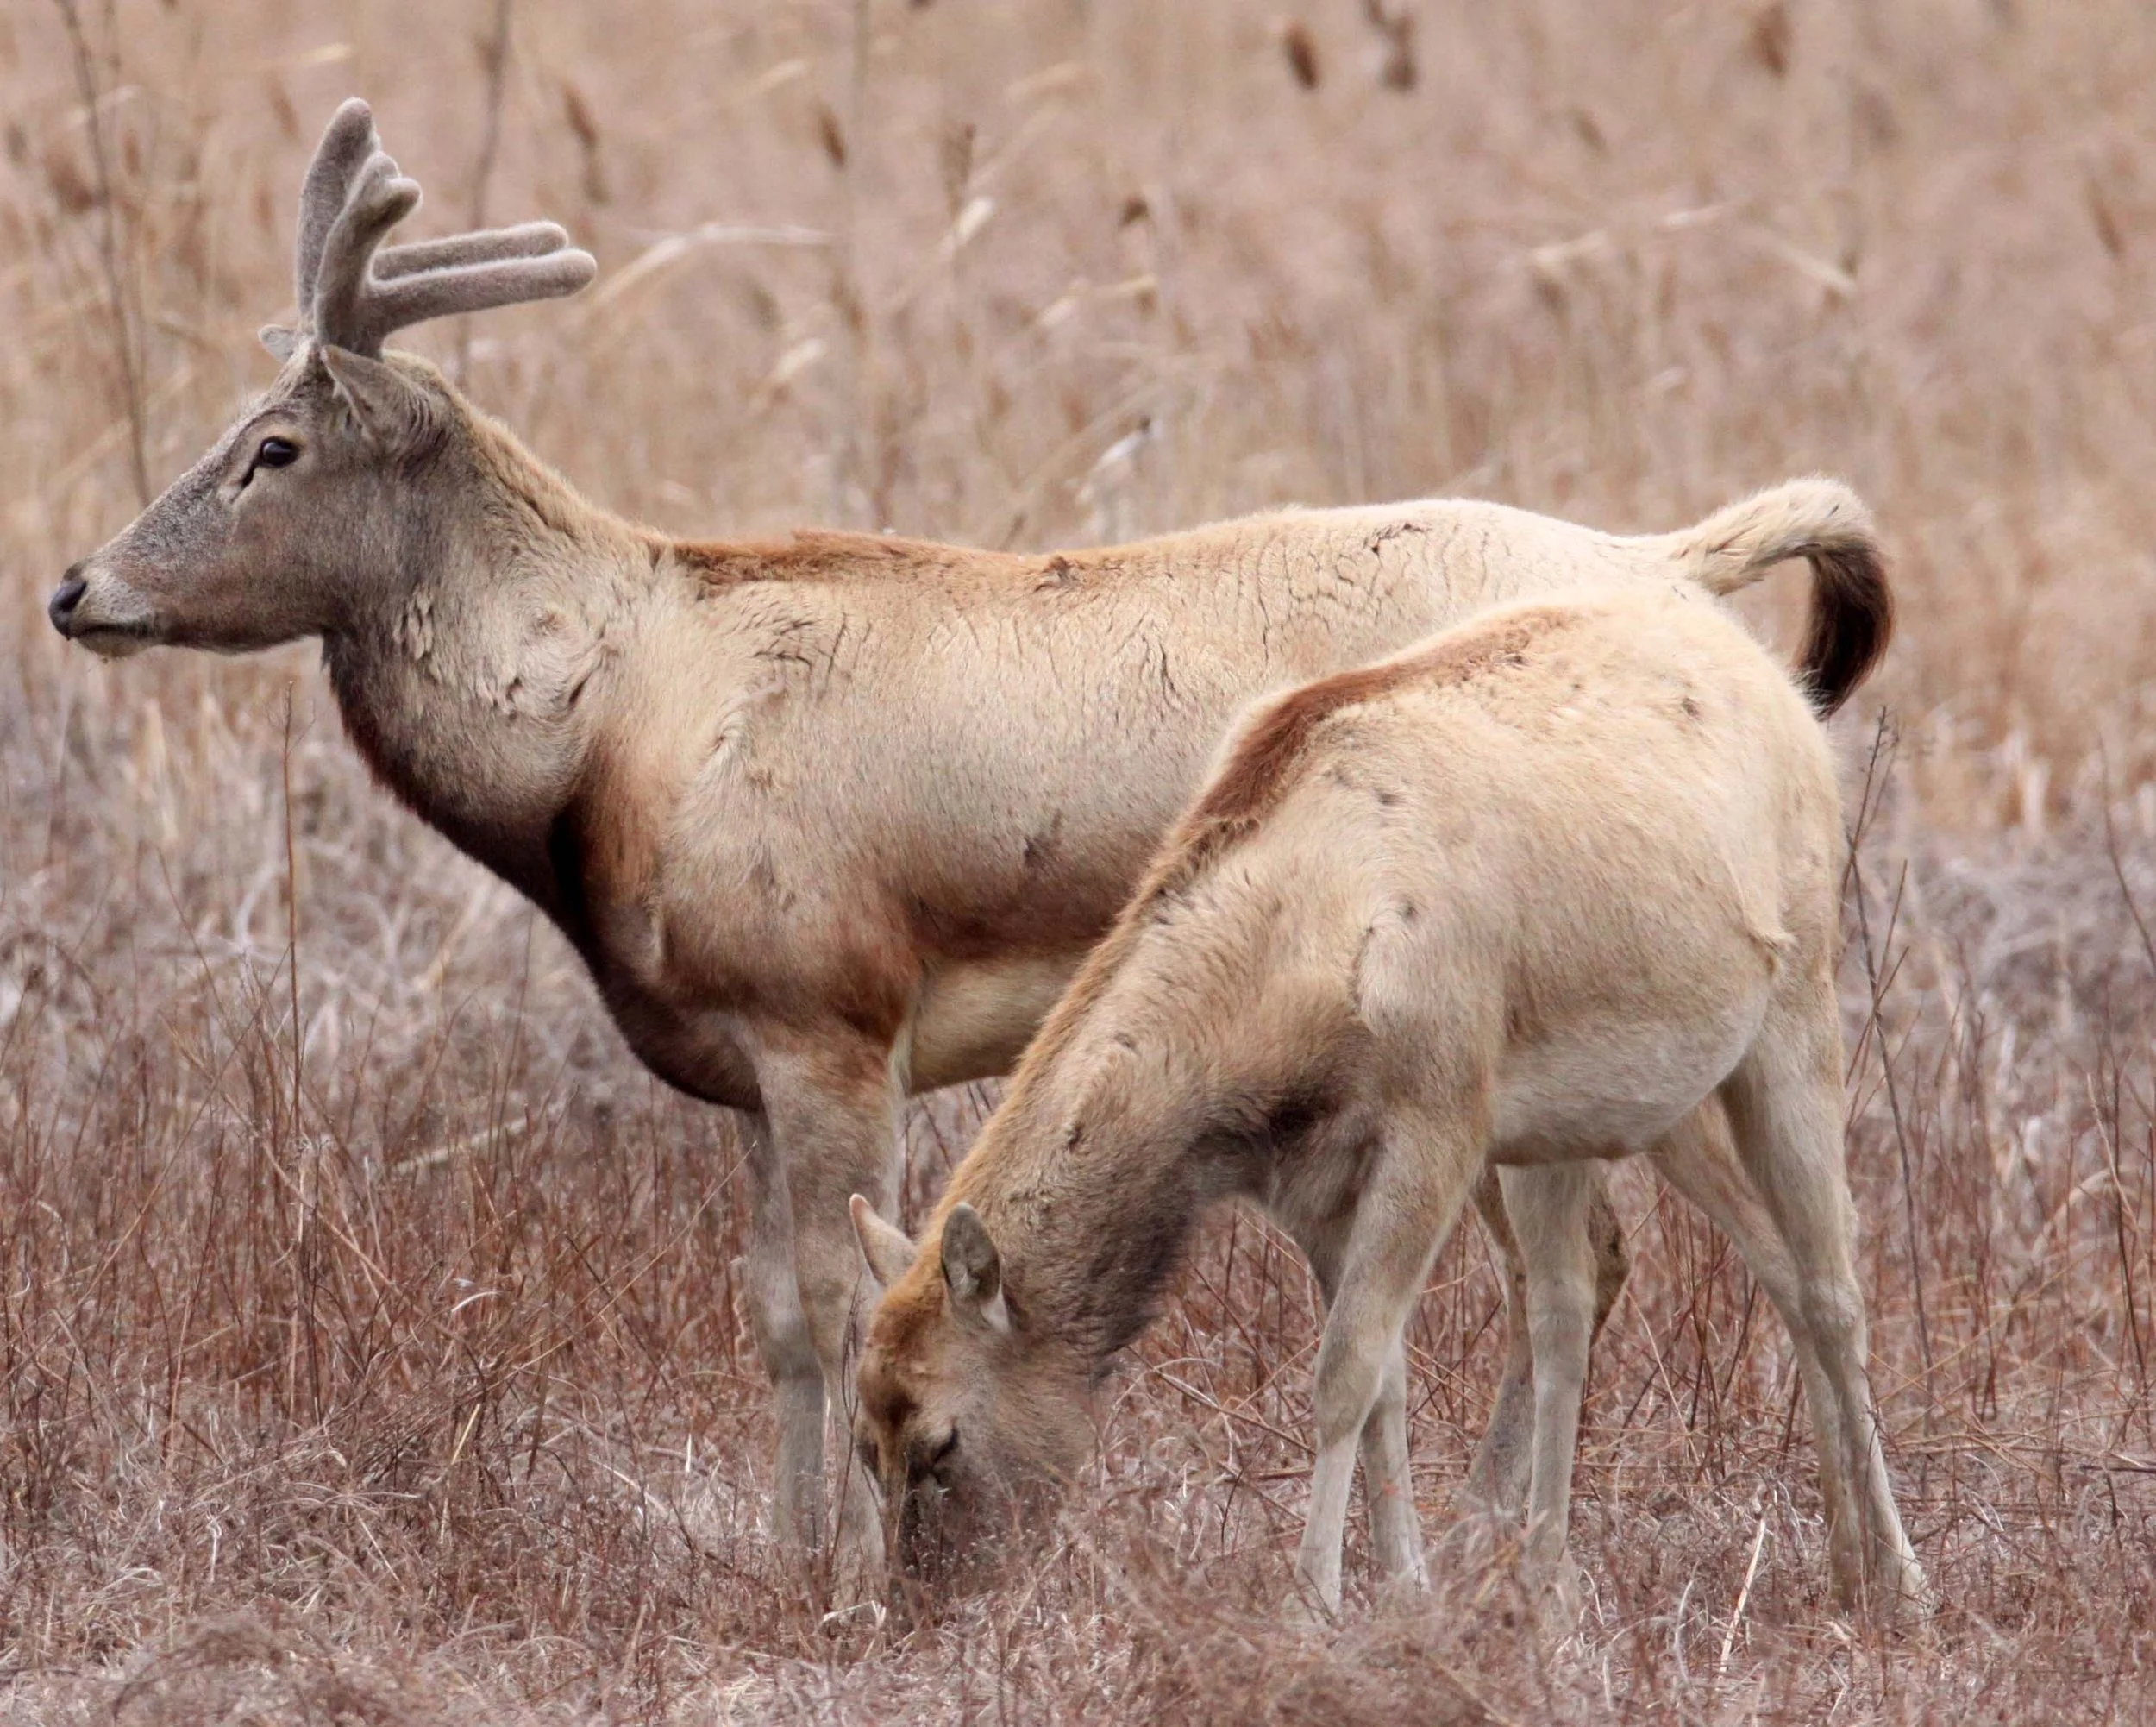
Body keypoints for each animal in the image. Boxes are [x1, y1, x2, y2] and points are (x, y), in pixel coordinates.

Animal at [848, 577, 1927, 1624]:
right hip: (1619, 1110)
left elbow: (1342, 1373)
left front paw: (1315, 1604)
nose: (915, 1614)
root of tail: (1780, 684)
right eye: (864, 1436)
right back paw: (1604, 1576)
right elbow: (1387, 1380)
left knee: (1832, 1288)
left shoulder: (1438, 1119)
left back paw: (1898, 1580)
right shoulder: (1312, 1184)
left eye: (941, 1441)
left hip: (1796, 1005)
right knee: (1607, 1295)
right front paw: (1407, 1591)